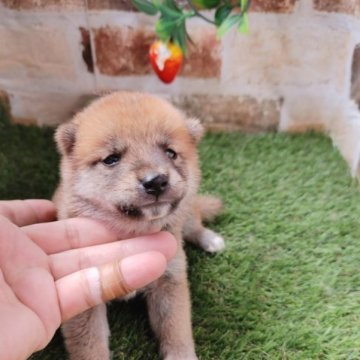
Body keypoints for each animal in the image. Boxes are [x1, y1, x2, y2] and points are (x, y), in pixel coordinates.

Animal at [53, 91, 225, 358]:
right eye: (111, 159)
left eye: (170, 153)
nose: (156, 181)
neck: (133, 232)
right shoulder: (85, 294)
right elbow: (90, 346)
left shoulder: (170, 278)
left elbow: (176, 331)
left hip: (186, 214)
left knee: (194, 221)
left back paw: (211, 239)